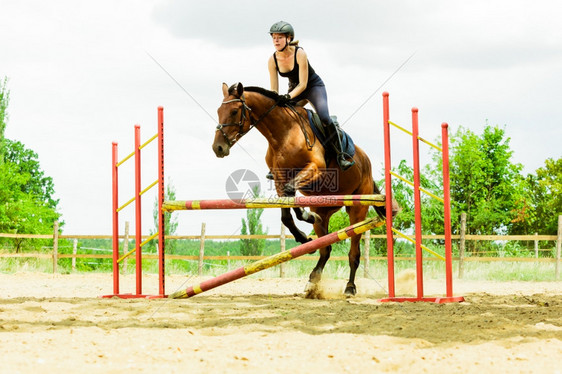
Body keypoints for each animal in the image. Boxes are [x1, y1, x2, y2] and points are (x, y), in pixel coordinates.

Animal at [212, 82, 388, 296]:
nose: (218, 148)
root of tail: (366, 162)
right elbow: (286, 214)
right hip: (324, 207)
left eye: (234, 111)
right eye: (219, 111)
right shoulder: (279, 179)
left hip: (357, 208)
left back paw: (349, 287)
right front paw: (304, 238)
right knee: (325, 248)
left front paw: (306, 219)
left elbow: (292, 197)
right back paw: (313, 279)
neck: (282, 133)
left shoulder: (314, 169)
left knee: (354, 252)